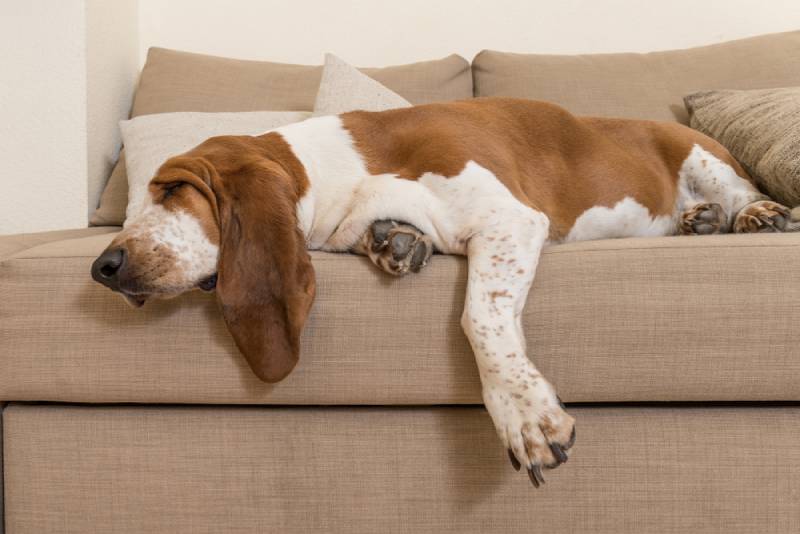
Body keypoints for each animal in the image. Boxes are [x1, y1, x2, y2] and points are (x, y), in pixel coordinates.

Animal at [92, 97, 792, 490]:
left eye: (173, 190)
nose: (103, 265)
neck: (342, 172)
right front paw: (395, 241)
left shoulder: (510, 220)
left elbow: (478, 317)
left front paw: (525, 415)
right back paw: (698, 221)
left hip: (704, 157)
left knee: (741, 194)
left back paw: (753, 216)